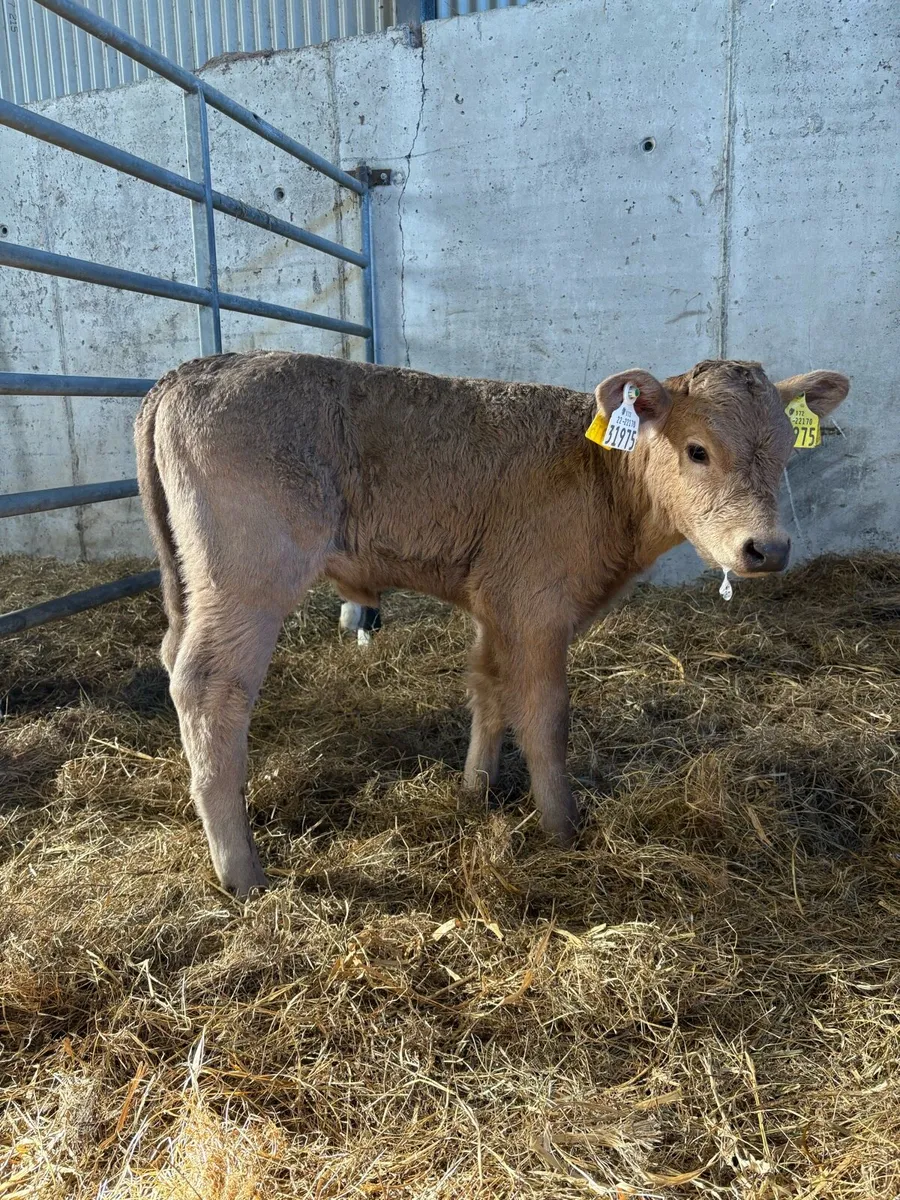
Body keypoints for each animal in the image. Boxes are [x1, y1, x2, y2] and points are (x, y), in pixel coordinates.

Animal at [135, 353, 849, 896]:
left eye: (785, 455)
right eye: (698, 450)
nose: (767, 549)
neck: (603, 474)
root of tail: (189, 371)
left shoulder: (496, 603)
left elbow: (489, 689)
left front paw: (474, 792)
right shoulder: (537, 606)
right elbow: (545, 714)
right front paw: (562, 828)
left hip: (191, 582)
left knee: (174, 656)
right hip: (247, 577)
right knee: (208, 686)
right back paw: (242, 872)